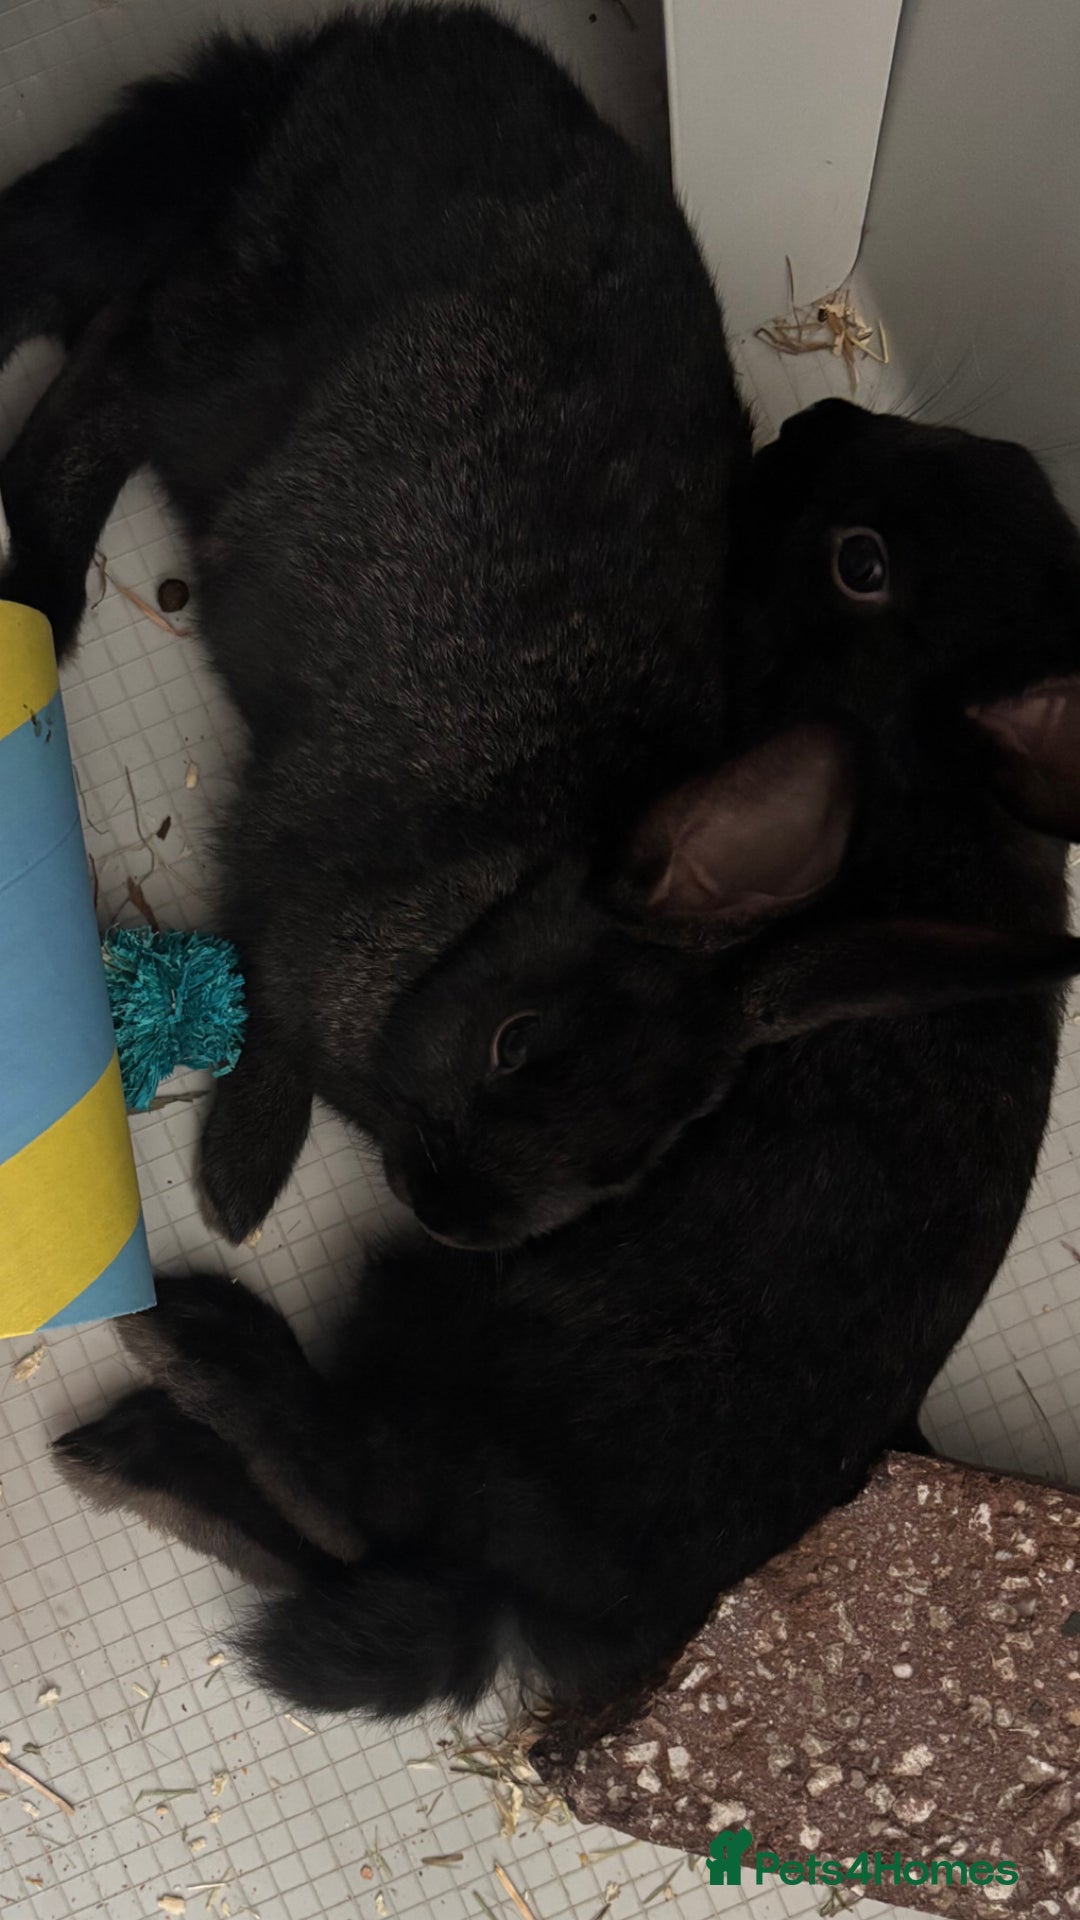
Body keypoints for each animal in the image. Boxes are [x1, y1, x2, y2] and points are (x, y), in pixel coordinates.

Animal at [0, 3, 759, 1249]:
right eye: (514, 1042)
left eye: (623, 1165)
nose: (453, 1215)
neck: (488, 889)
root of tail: (357, 44)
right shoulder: (283, 871)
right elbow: (271, 1016)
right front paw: (243, 1184)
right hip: (229, 357)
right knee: (108, 377)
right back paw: (48, 599)